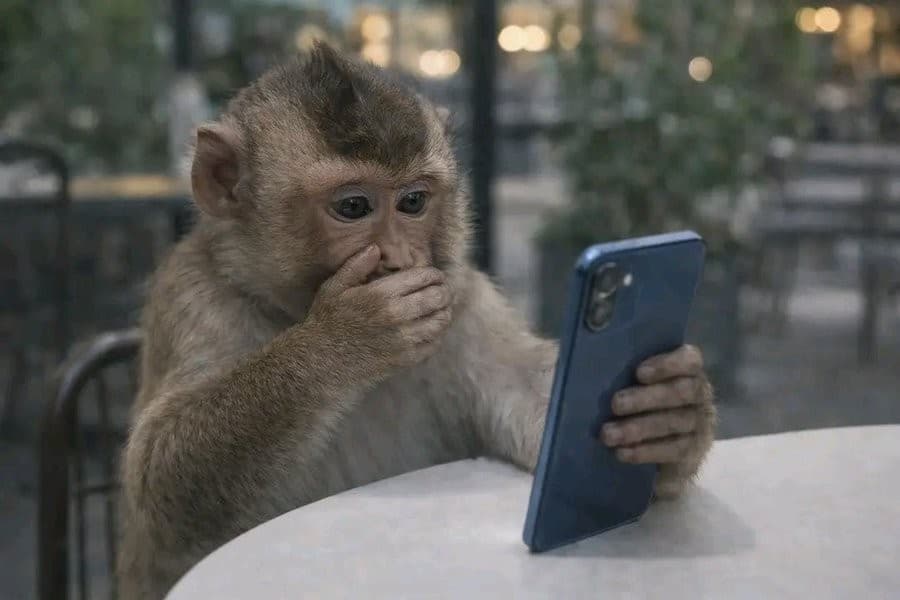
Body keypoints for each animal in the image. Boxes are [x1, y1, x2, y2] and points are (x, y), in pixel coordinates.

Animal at [118, 43, 716, 599]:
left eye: (412, 201)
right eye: (353, 207)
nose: (402, 258)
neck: (286, 312)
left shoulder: (462, 299)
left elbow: (530, 402)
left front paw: (671, 412)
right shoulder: (192, 298)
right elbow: (161, 484)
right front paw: (344, 339)